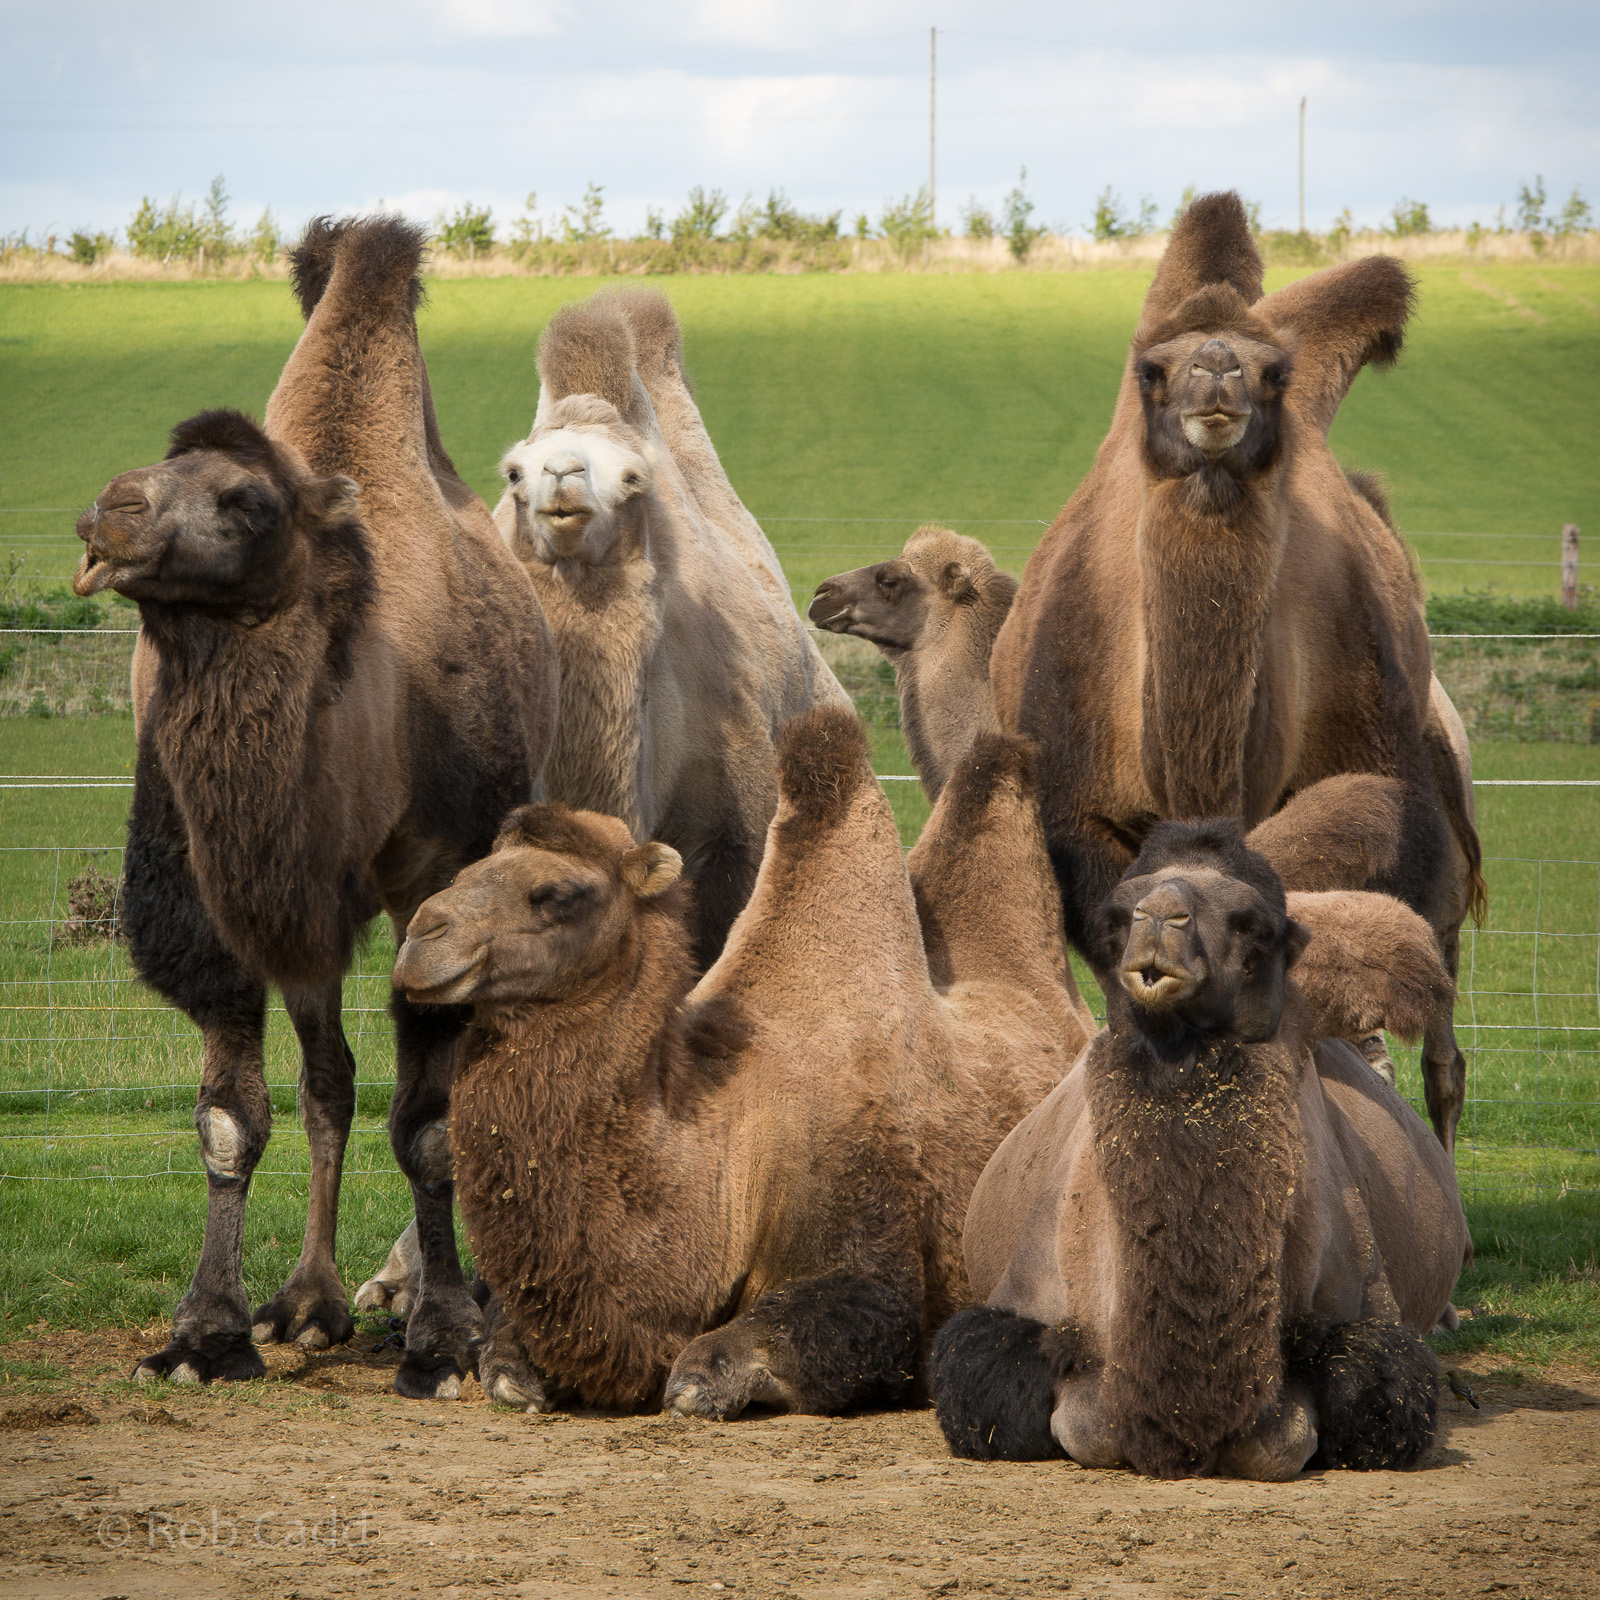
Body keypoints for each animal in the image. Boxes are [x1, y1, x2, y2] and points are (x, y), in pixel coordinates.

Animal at [71, 216, 558, 1398]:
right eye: (159, 468)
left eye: (243, 501)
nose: (110, 511)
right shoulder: (227, 889)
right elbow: (231, 1116)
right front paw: (208, 1331)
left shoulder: (439, 880)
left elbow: (430, 1125)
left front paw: (442, 1339)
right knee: (327, 1077)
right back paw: (308, 1301)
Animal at [390, 706, 1095, 1417]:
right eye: (466, 872)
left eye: (556, 893)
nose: (420, 935)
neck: (724, 1146)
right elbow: (505, 1361)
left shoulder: (868, 1238)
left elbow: (716, 1368)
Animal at [933, 823, 1469, 1478]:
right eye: (1117, 916)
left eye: (1253, 924)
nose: (1159, 917)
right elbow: (994, 1401)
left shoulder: (1370, 1313)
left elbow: (1371, 1397)